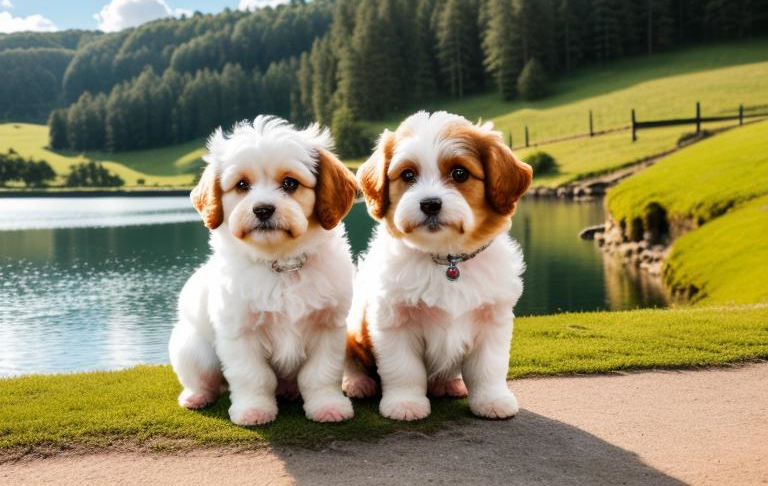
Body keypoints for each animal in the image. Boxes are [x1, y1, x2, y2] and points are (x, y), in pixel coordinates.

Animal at [168, 117, 356, 426]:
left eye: (290, 183)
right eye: (242, 185)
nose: (263, 209)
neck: (281, 264)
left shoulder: (328, 327)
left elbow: (320, 374)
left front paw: (327, 406)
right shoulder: (240, 333)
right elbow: (253, 376)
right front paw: (253, 410)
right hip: (191, 349)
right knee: (203, 379)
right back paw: (196, 397)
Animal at [344, 111, 532, 422]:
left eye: (459, 173)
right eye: (408, 175)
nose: (430, 204)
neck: (447, 260)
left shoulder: (493, 319)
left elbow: (489, 367)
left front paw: (493, 400)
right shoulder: (394, 321)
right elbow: (404, 368)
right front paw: (405, 404)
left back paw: (448, 384)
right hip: (352, 329)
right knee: (351, 361)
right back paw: (359, 384)